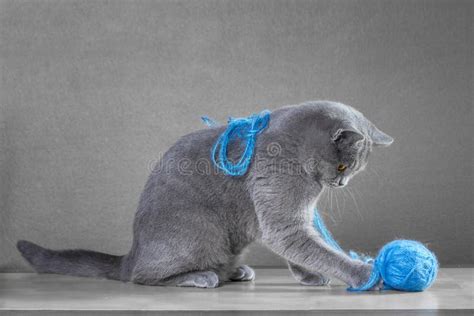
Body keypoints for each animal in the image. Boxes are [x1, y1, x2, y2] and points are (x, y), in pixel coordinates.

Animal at [16, 100, 392, 288]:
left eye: (354, 172)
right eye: (343, 167)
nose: (342, 184)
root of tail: (129, 255)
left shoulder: (285, 217)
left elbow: (304, 249)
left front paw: (310, 276)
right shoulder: (281, 210)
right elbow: (314, 248)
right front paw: (365, 275)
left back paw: (236, 272)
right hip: (201, 230)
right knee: (143, 278)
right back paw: (201, 276)